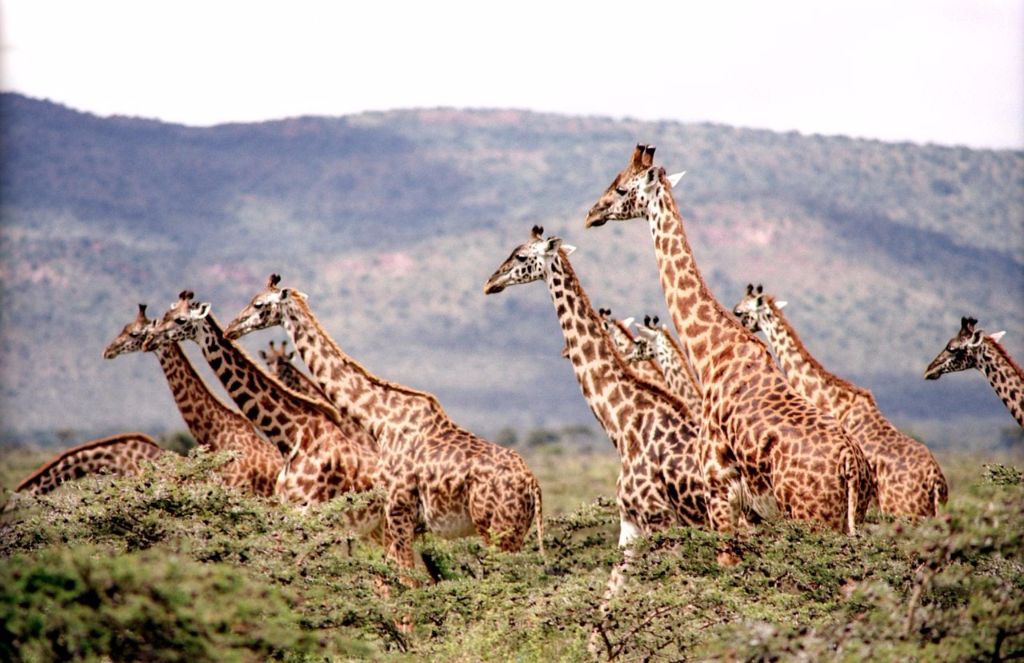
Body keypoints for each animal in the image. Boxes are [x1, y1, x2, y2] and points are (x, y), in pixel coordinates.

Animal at [142, 292, 383, 534]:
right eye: (165, 315)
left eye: (180, 319)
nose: (148, 340)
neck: (292, 437)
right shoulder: (286, 508)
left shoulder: (308, 510)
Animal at [223, 274, 544, 579]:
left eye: (259, 304)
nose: (230, 329)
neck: (381, 420)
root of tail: (533, 485)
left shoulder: (398, 510)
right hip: (512, 531)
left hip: (496, 529)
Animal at [585, 144, 874, 535]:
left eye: (620, 188)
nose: (591, 215)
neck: (712, 352)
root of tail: (851, 465)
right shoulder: (750, 510)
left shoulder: (718, 487)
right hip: (850, 520)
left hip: (811, 516)